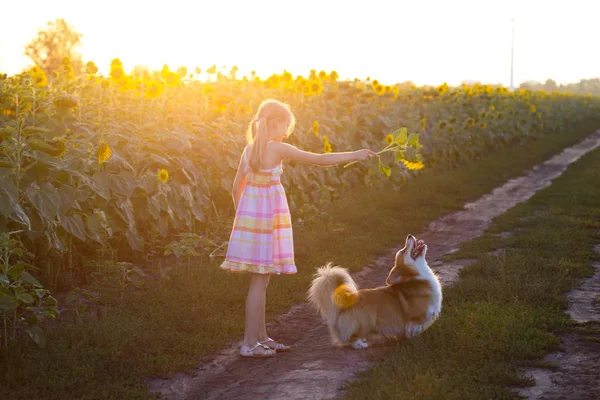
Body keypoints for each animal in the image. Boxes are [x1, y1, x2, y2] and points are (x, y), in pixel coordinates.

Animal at [310, 233, 440, 348]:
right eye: (403, 251)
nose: (409, 235)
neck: (418, 278)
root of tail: (348, 299)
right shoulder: (415, 319)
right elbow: (413, 330)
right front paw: (415, 341)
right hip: (365, 322)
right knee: (352, 338)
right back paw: (361, 345)